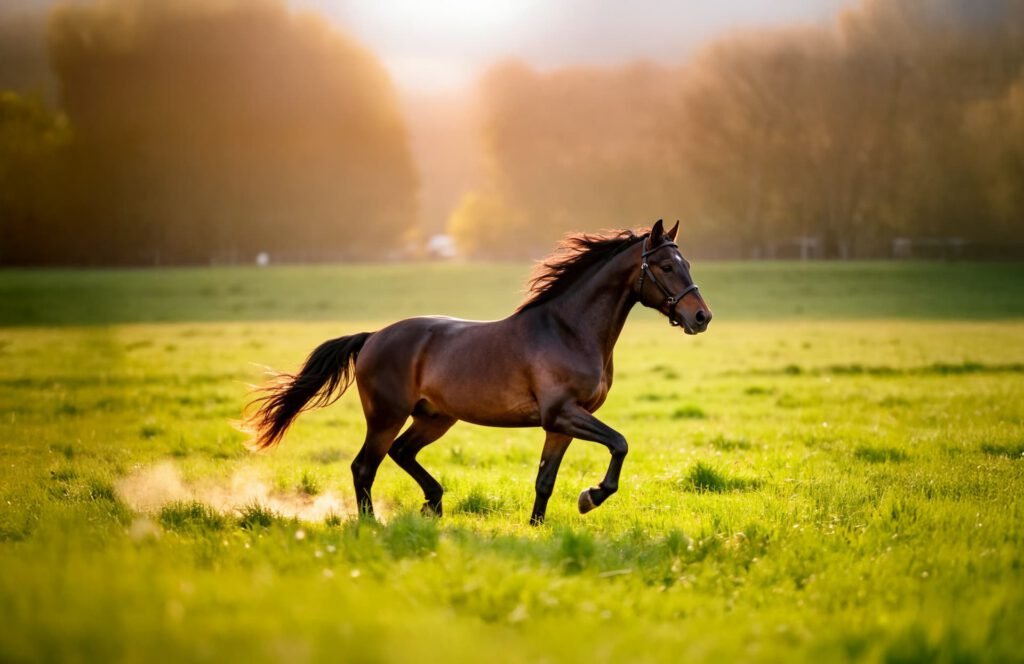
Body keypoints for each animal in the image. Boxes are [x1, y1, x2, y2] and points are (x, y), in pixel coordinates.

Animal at [244, 219, 712, 524]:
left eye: (687, 263)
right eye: (667, 267)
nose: (701, 317)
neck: (568, 330)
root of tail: (373, 336)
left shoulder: (560, 424)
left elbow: (545, 479)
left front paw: (538, 526)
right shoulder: (562, 413)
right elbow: (620, 443)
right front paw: (590, 497)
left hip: (435, 418)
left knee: (402, 453)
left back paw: (433, 504)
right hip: (386, 416)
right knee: (364, 467)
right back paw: (373, 522)